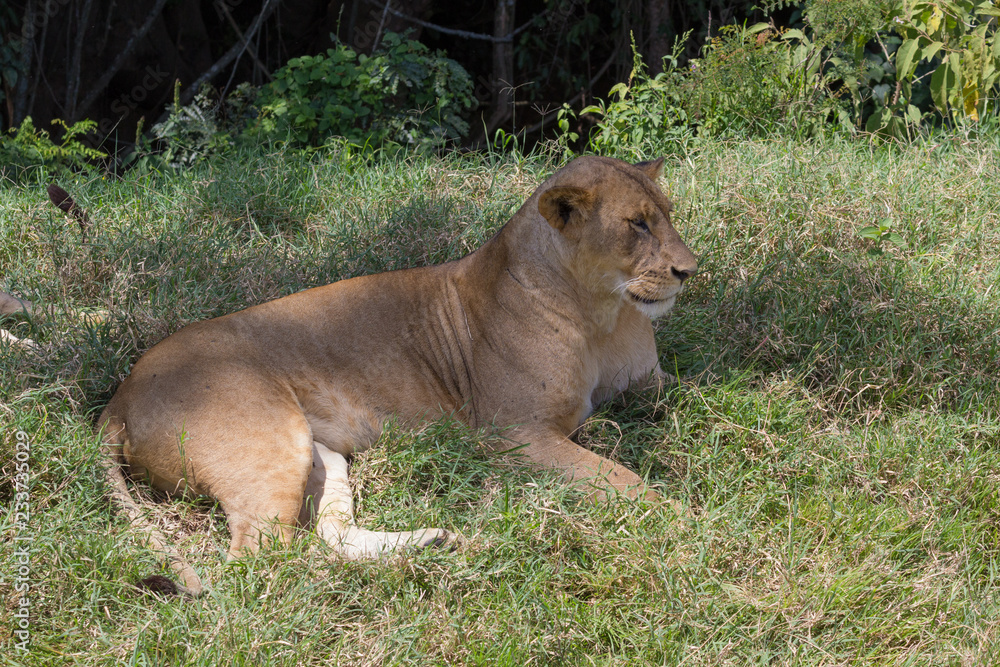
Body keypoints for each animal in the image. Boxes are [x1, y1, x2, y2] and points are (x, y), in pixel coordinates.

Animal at [98, 156, 698, 595]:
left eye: (667, 213)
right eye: (637, 224)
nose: (688, 271)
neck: (601, 310)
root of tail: (119, 398)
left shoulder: (651, 385)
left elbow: (704, 397)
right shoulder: (515, 434)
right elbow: (618, 477)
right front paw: (687, 519)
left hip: (320, 454)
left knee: (327, 535)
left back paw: (435, 543)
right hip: (266, 439)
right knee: (258, 561)